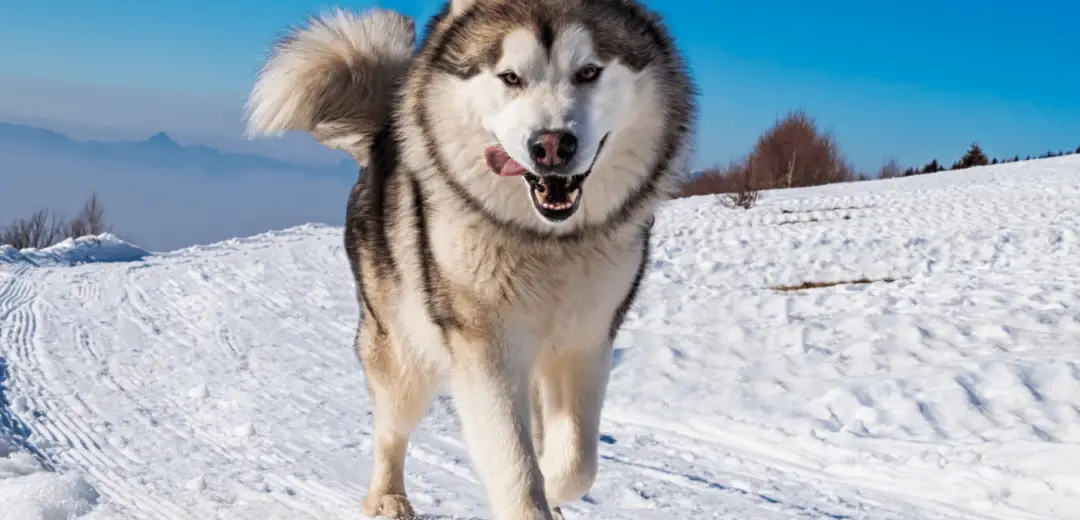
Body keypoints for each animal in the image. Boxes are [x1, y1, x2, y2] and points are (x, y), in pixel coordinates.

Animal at [246, 2, 695, 516]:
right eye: (510, 77)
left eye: (588, 72)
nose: (551, 145)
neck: (544, 241)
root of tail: (382, 134)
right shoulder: (485, 345)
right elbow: (516, 465)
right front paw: (531, 493)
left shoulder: (588, 340)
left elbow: (576, 462)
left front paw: (552, 485)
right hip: (402, 350)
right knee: (390, 429)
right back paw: (387, 497)